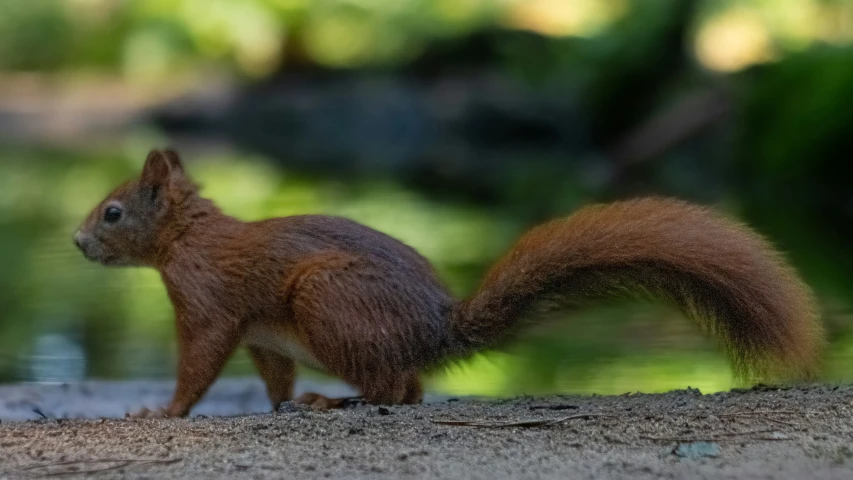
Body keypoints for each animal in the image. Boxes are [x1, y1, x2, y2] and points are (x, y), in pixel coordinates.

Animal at [75, 149, 824, 416]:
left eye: (113, 211)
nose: (78, 242)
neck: (187, 238)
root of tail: (434, 328)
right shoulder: (263, 335)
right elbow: (271, 372)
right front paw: (278, 404)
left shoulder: (206, 302)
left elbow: (199, 363)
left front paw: (162, 412)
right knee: (407, 389)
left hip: (326, 301)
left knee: (391, 390)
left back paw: (336, 402)